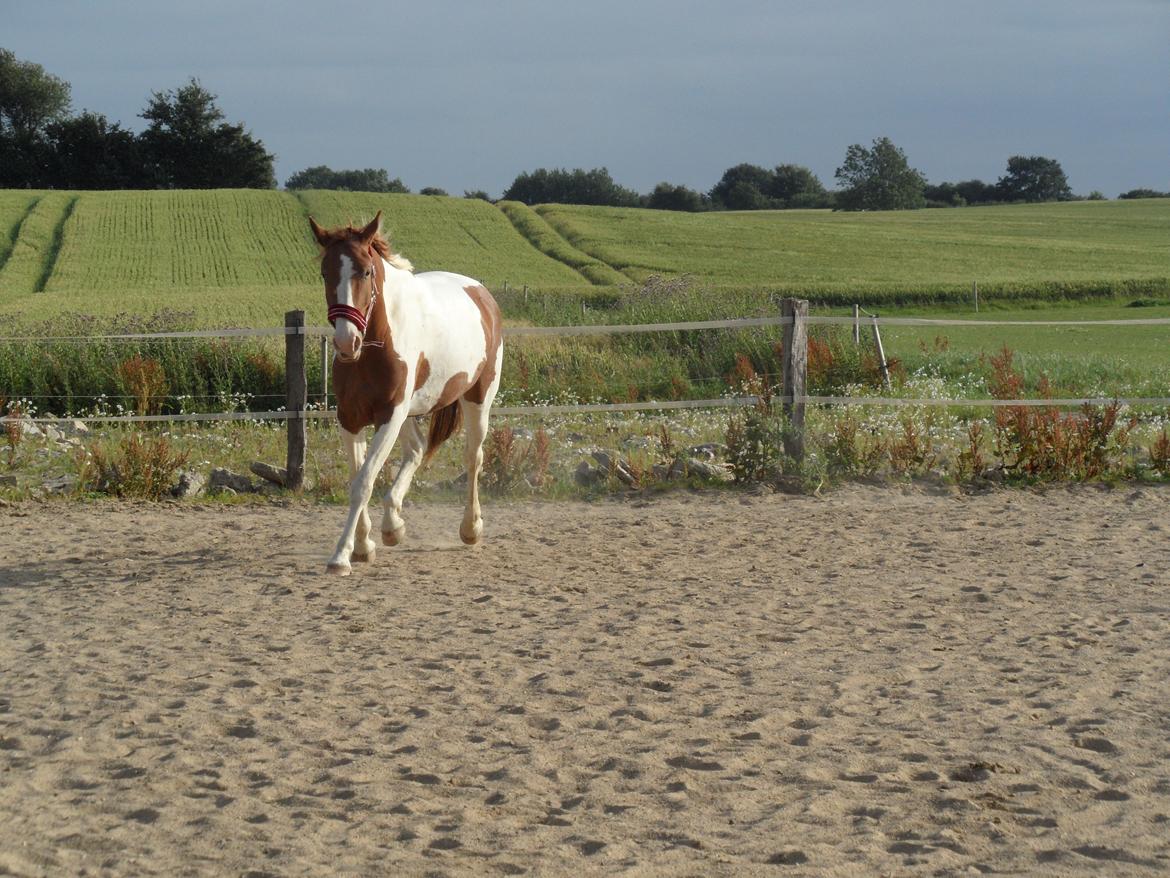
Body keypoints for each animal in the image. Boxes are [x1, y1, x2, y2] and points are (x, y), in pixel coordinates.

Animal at [308, 213, 500, 578]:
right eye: (324, 272)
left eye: (366, 272)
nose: (346, 342)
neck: (374, 347)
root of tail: (482, 293)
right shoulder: (350, 418)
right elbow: (357, 478)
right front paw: (364, 546)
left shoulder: (389, 415)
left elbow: (363, 482)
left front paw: (341, 555)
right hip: (410, 412)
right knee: (416, 450)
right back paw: (392, 525)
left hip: (478, 398)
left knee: (473, 457)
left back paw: (471, 528)